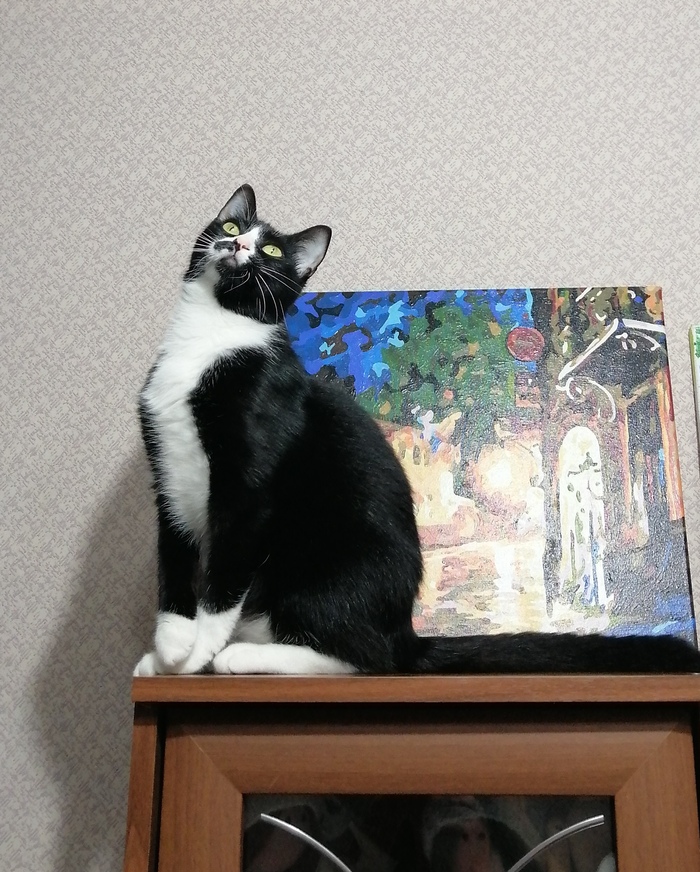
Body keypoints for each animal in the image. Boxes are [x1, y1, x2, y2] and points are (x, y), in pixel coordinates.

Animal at [134, 184, 700, 676]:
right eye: (231, 225)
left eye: (271, 249)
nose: (237, 243)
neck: (212, 337)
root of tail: (405, 628)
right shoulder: (168, 473)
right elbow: (173, 563)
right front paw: (167, 651)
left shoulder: (248, 491)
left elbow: (224, 580)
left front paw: (197, 656)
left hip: (319, 561)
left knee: (367, 658)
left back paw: (242, 656)